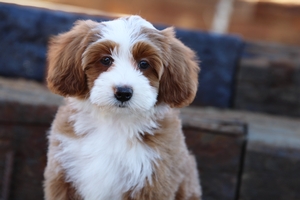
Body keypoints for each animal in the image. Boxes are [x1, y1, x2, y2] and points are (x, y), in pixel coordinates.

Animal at [44, 14, 202, 199]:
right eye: (106, 60)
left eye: (144, 64)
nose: (123, 92)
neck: (115, 121)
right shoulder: (63, 171)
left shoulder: (153, 179)